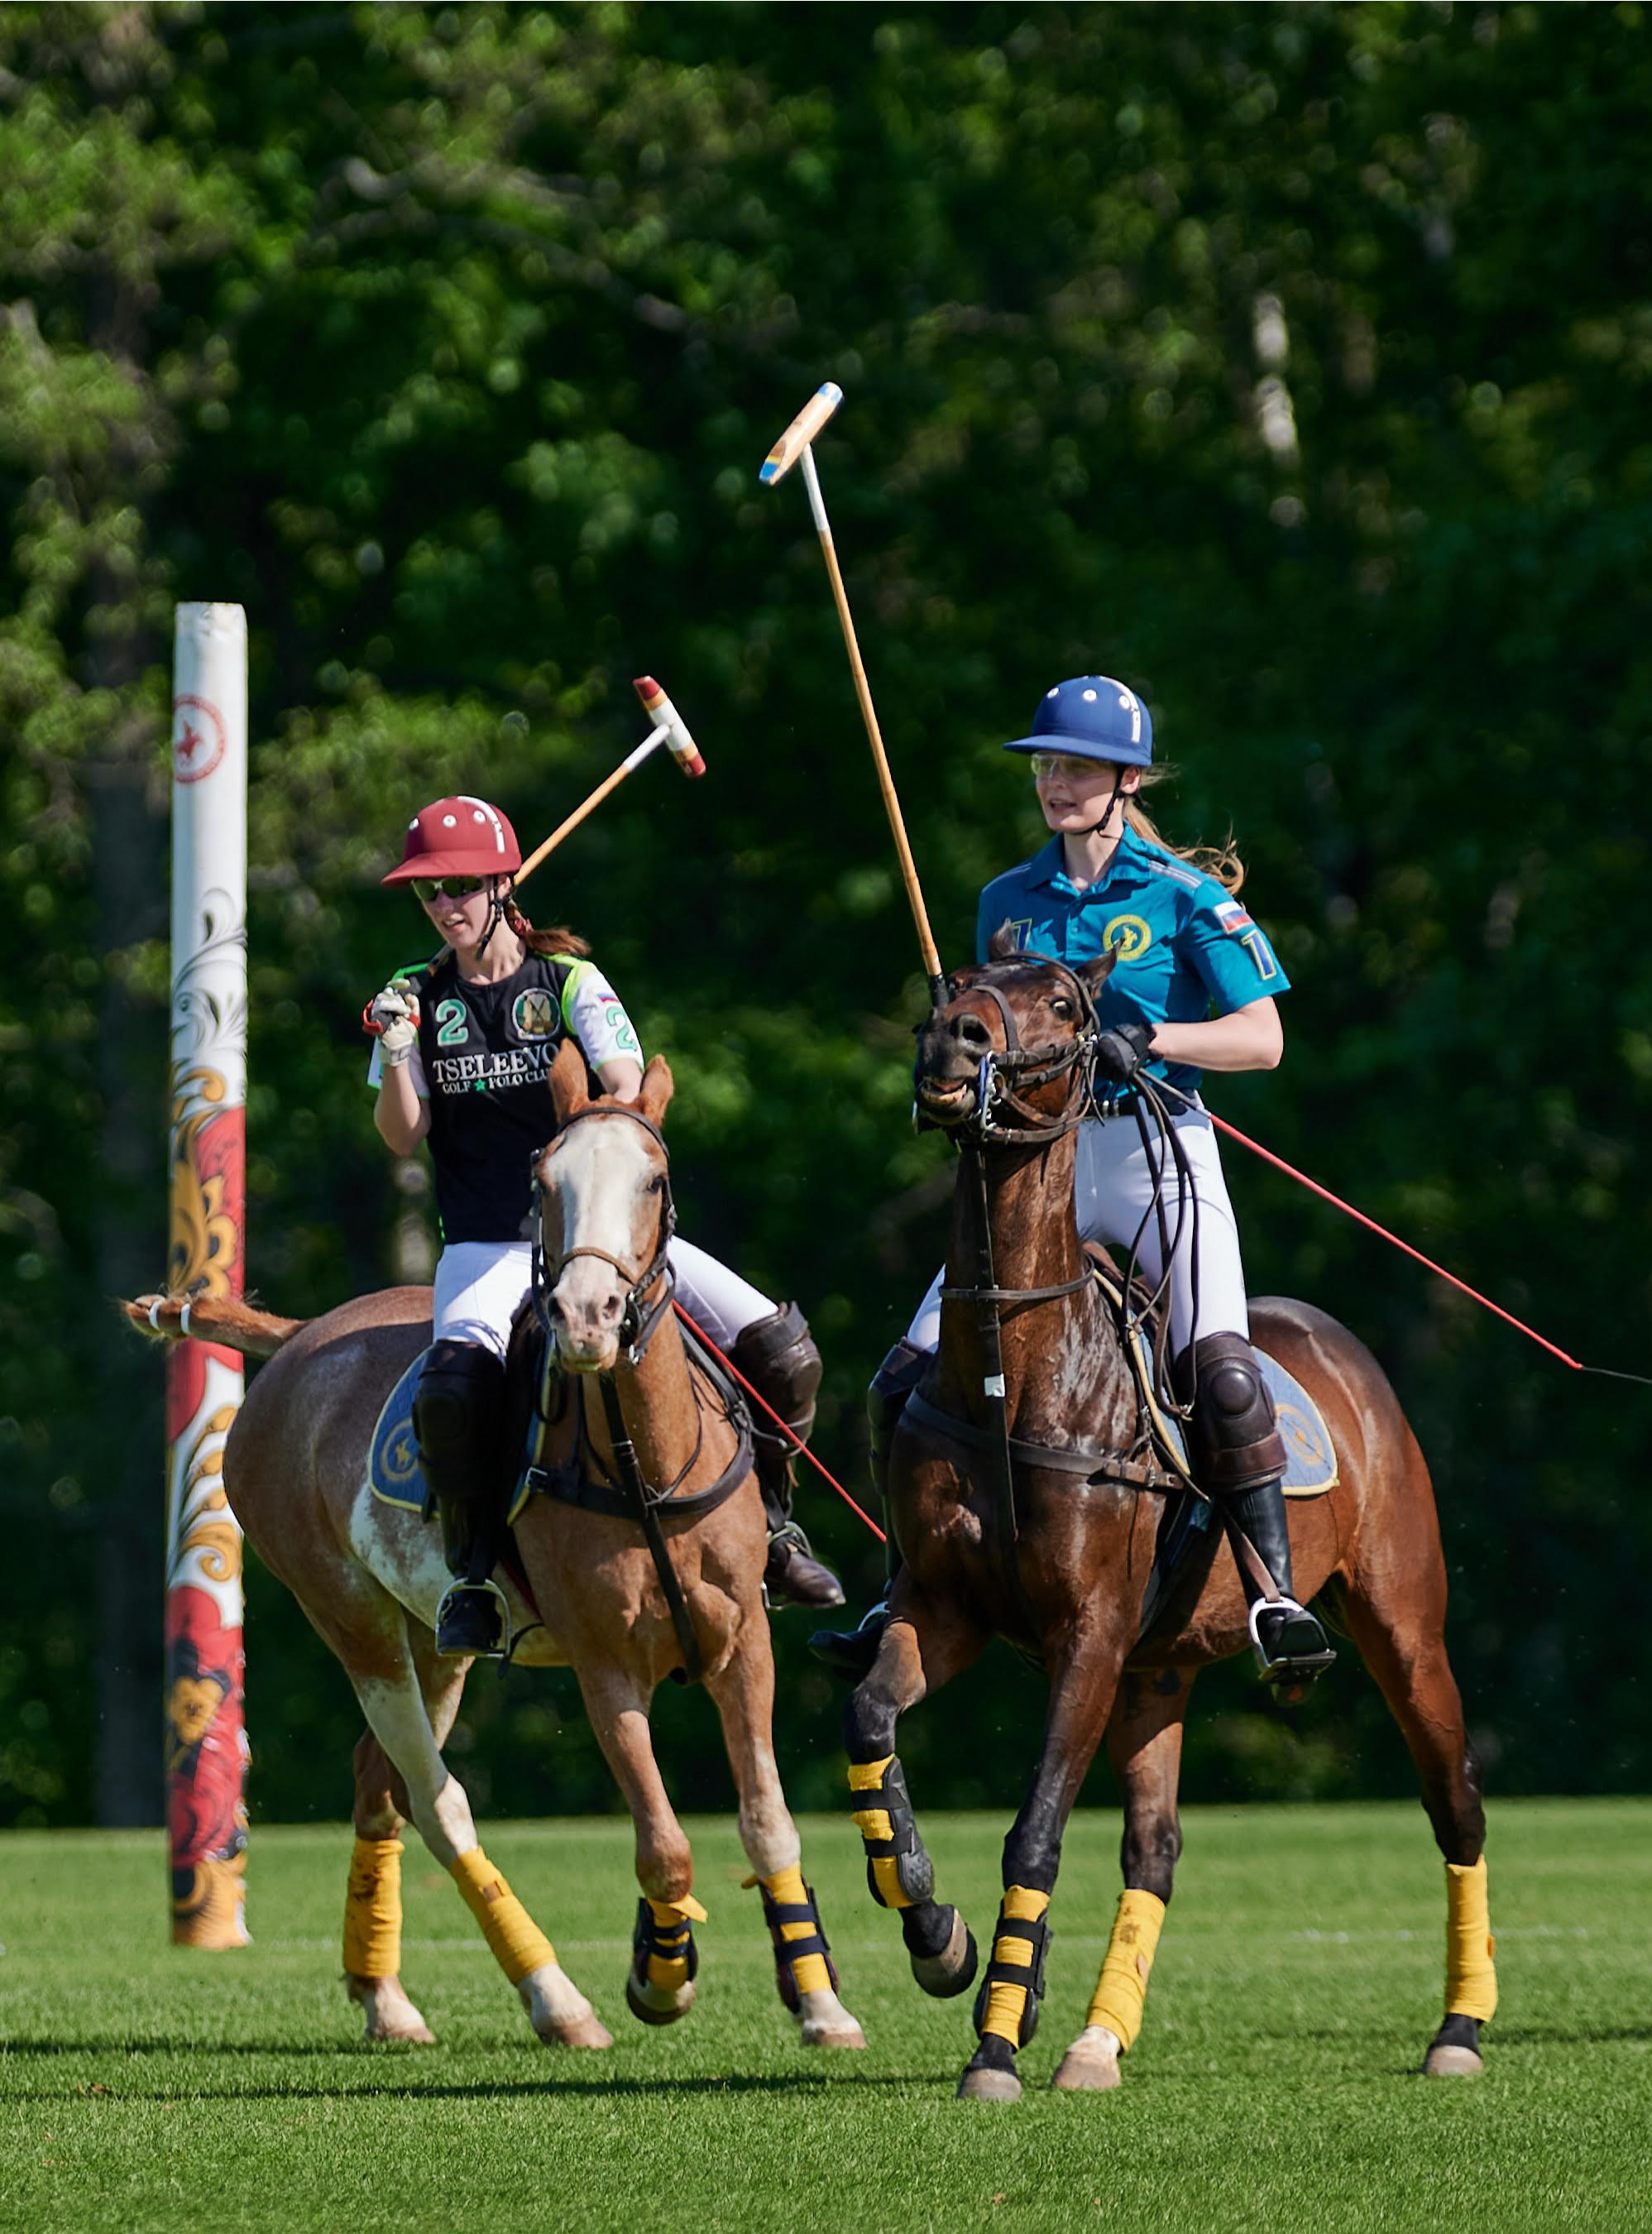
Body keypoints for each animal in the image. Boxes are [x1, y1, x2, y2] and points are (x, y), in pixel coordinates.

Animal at [128, 1045, 866, 2055]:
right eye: (542, 1181)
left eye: (655, 1178)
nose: (587, 1317)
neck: (642, 1458)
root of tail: (297, 1338)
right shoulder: (604, 1664)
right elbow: (665, 1848)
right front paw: (659, 1975)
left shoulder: (741, 1643)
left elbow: (767, 1823)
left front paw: (822, 2004)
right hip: (351, 1619)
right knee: (437, 1803)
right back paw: (558, 2001)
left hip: (437, 1643)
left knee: (381, 1784)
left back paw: (386, 1999)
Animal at [844, 942, 1500, 2091]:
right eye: (957, 980)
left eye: (1067, 1006)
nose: (951, 1043)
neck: (1017, 1375)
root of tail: (1336, 1342)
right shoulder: (944, 1607)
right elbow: (871, 1718)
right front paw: (938, 1935)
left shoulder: (1090, 1634)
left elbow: (1034, 1829)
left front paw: (993, 2046)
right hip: (1159, 1668)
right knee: (1154, 1845)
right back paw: (1096, 2042)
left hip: (1401, 1621)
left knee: (1452, 1797)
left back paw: (1458, 2029)